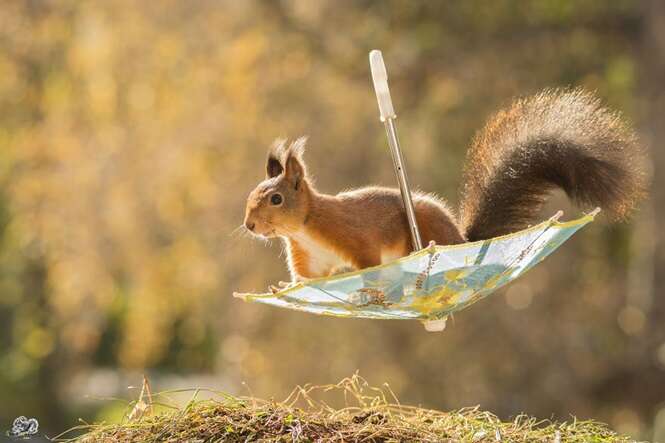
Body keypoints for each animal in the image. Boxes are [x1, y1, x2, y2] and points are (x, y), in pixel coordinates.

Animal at [243, 89, 644, 288]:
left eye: (276, 199)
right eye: (251, 196)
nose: (249, 225)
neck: (306, 227)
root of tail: (461, 240)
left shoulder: (355, 236)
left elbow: (368, 261)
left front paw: (368, 286)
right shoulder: (308, 257)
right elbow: (307, 278)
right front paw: (285, 289)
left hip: (425, 228)